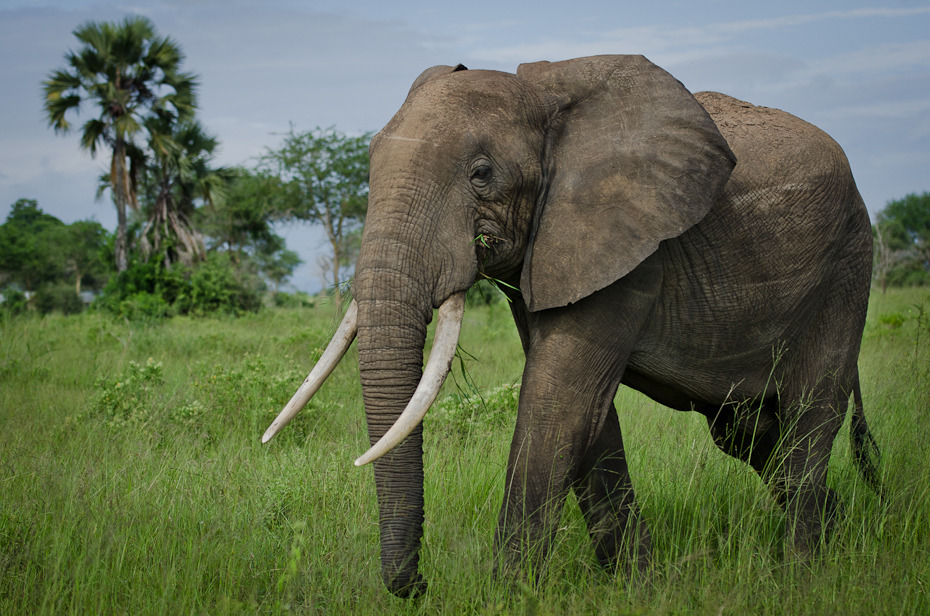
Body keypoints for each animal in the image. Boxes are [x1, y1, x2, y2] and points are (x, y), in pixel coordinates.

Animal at [260, 54, 876, 596]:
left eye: (481, 175)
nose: (416, 587)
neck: (543, 97)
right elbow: (584, 410)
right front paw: (641, 587)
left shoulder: (628, 242)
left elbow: (559, 399)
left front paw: (507, 596)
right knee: (748, 431)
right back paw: (841, 533)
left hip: (847, 266)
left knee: (810, 414)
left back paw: (802, 574)